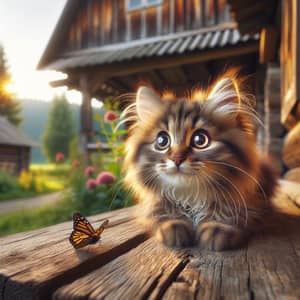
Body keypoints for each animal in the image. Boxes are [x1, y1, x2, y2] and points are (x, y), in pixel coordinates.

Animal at [121, 75, 276, 251]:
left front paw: (216, 227)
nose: (177, 159)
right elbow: (162, 213)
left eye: (200, 140)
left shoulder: (254, 203)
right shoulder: (154, 205)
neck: (191, 197)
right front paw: (173, 225)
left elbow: (232, 213)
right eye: (162, 141)